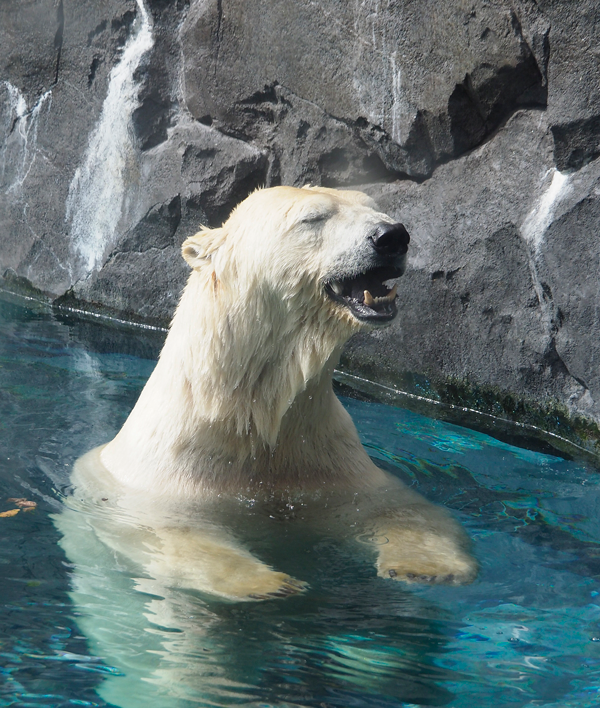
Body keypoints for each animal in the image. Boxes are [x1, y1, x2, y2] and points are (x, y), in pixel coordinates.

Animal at [63, 184, 478, 604]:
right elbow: (170, 534)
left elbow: (399, 509)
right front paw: (269, 584)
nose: (392, 236)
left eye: (374, 207)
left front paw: (427, 568)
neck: (249, 411)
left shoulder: (329, 459)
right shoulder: (166, 475)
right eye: (313, 218)